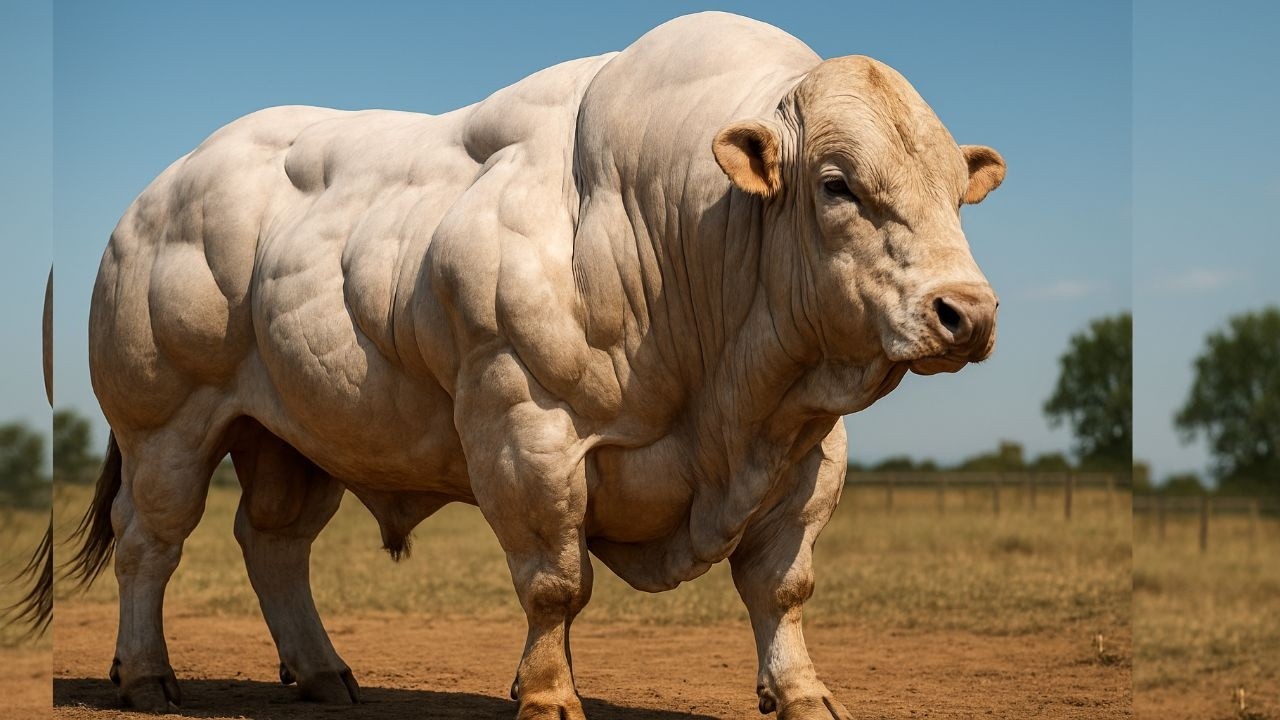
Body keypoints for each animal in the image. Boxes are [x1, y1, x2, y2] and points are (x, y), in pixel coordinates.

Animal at [68, 12, 1004, 719]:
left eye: (957, 193)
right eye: (837, 184)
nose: (968, 312)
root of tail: (161, 190)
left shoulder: (809, 450)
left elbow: (782, 586)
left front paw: (803, 694)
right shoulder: (525, 428)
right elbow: (555, 582)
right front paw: (549, 695)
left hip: (292, 436)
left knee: (273, 544)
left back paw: (324, 672)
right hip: (164, 423)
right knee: (149, 542)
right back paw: (146, 675)